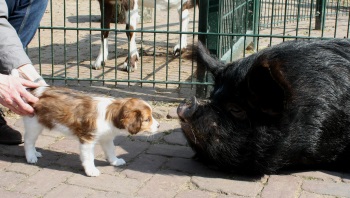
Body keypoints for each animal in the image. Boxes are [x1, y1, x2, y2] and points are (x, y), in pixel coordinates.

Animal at [22, 86, 159, 176]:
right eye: (147, 119)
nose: (159, 126)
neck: (110, 114)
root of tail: (35, 91)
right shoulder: (87, 139)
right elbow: (89, 157)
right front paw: (91, 170)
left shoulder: (106, 138)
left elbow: (111, 150)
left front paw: (115, 161)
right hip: (33, 124)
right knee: (28, 141)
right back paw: (31, 156)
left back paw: (35, 153)